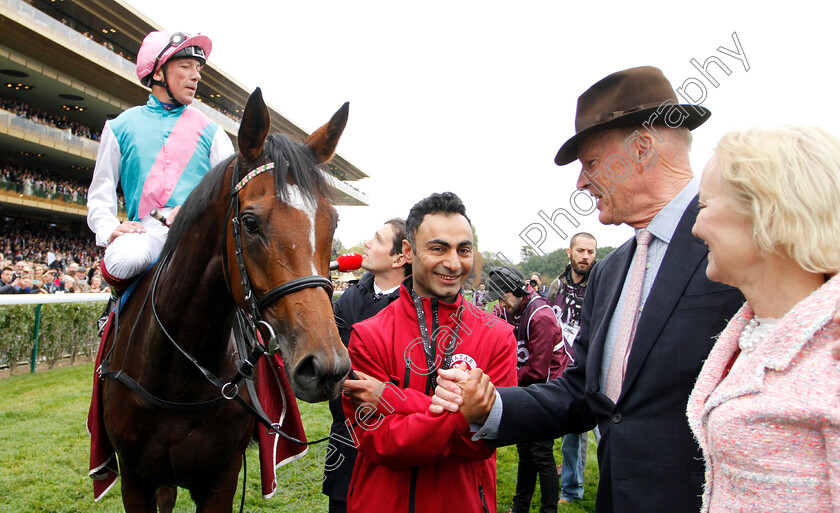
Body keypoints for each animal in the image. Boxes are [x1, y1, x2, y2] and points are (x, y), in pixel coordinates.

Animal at [97, 90, 352, 510]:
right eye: (250, 222)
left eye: (332, 222)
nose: (326, 367)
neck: (176, 381)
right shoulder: (134, 478)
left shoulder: (221, 478)